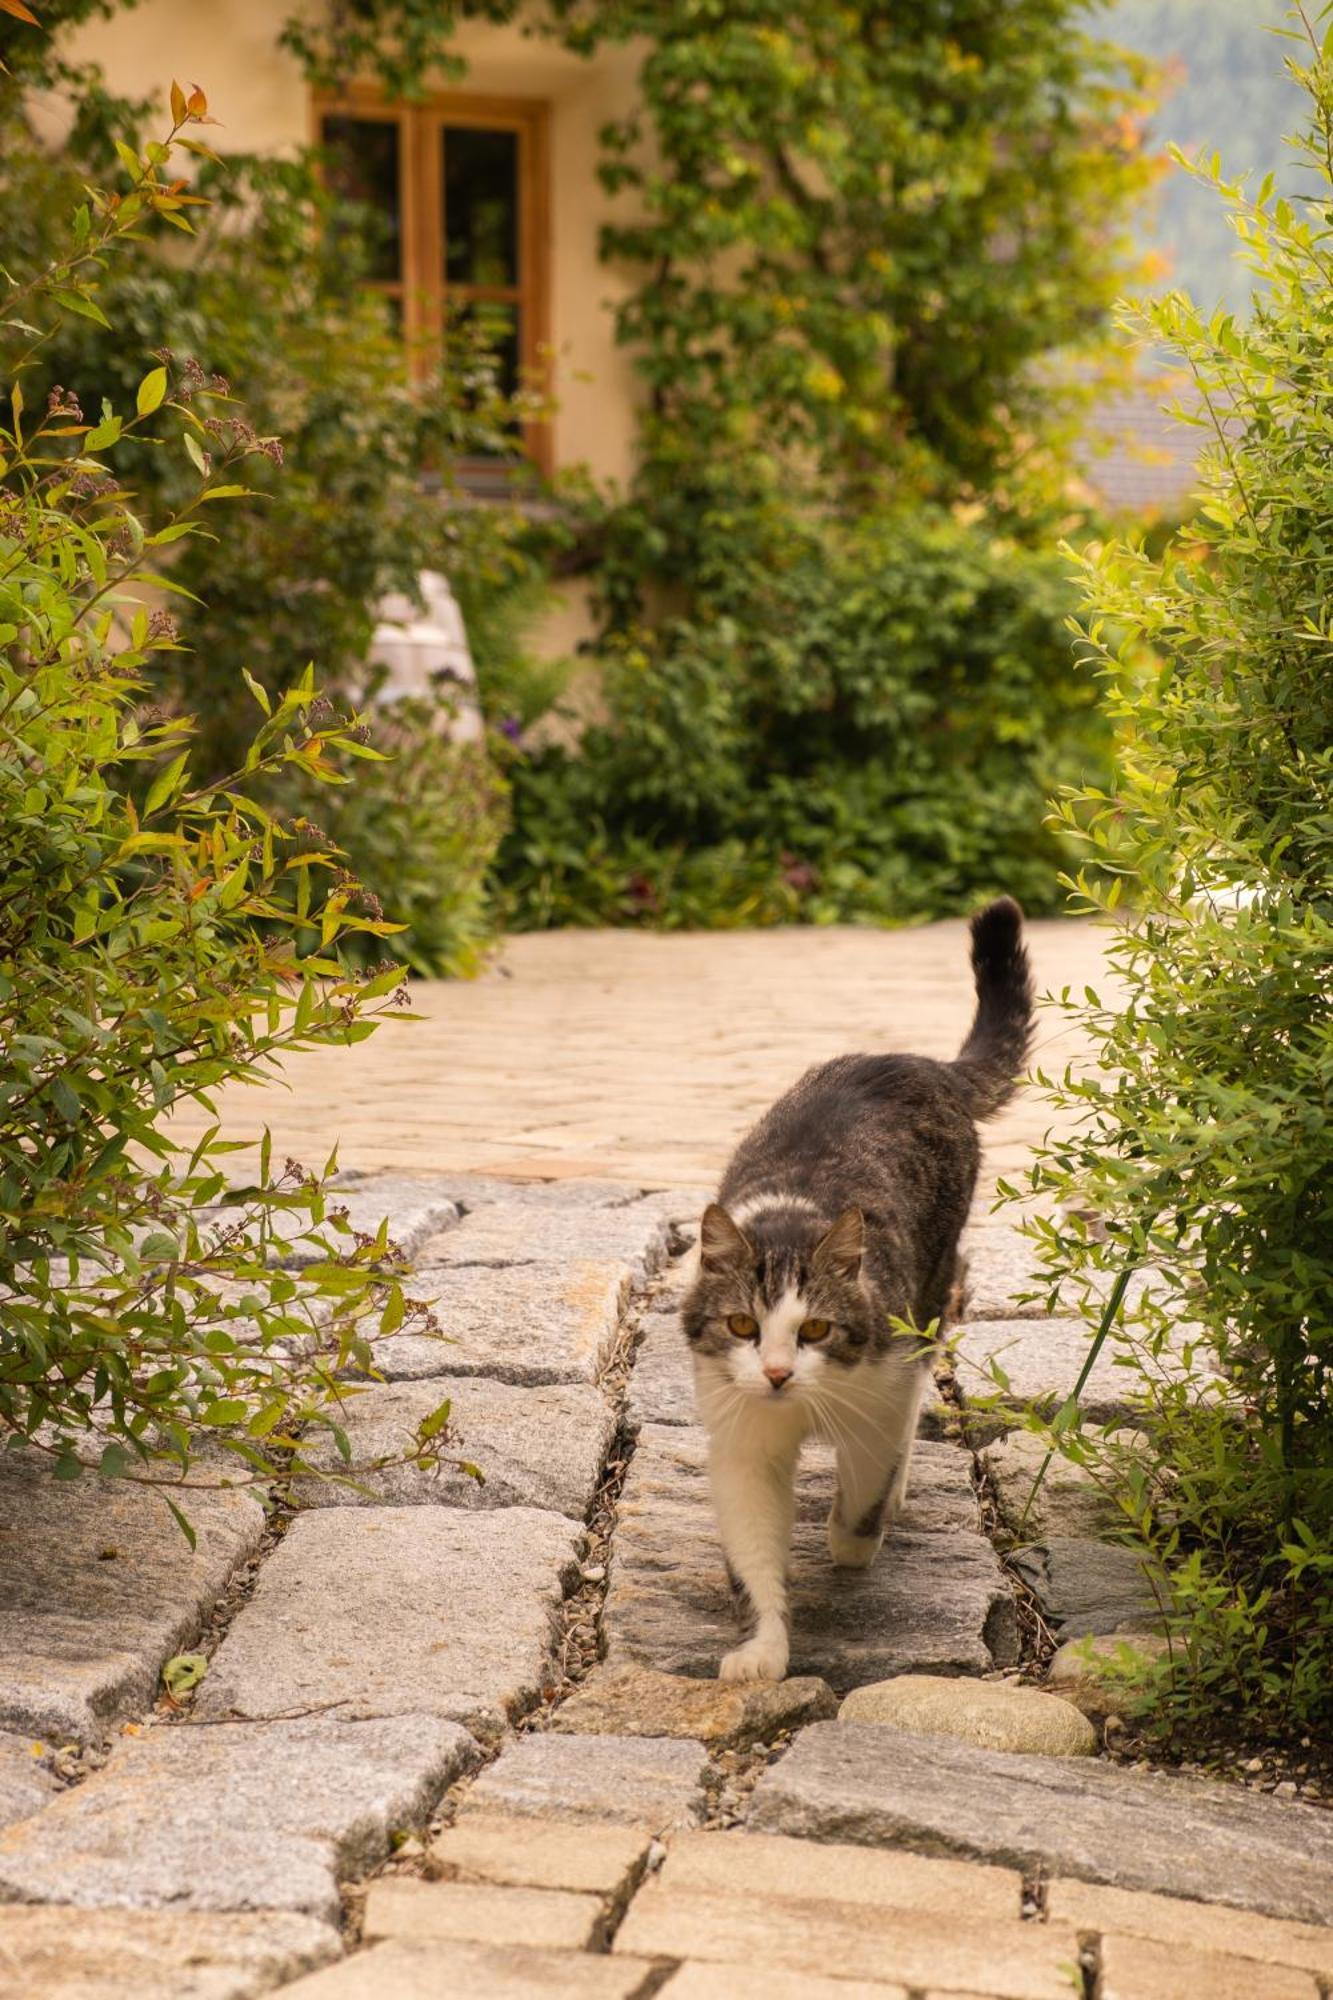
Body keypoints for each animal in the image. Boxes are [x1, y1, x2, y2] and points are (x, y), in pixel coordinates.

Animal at [680, 900, 1032, 1680]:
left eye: (814, 1329)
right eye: (743, 1327)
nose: (778, 1374)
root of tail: (917, 1061)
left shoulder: (882, 1384)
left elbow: (869, 1473)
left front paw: (853, 1537)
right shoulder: (740, 1435)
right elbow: (752, 1553)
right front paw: (762, 1649)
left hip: (934, 1284)